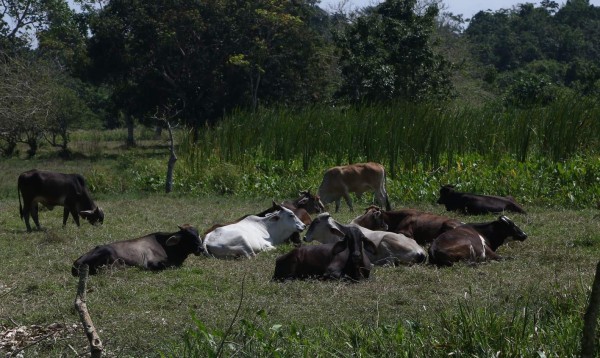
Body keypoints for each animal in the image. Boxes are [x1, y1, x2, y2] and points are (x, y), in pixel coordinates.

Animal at [71, 225, 203, 276]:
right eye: (189, 236)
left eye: (197, 234)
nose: (201, 248)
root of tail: (76, 262)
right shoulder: (152, 262)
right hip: (108, 252)